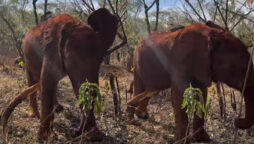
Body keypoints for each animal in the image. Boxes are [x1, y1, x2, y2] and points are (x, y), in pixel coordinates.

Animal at [17, 7, 118, 140]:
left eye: (101, 59)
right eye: (71, 59)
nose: (96, 138)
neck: (74, 23)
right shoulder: (51, 49)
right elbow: (47, 81)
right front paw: (45, 138)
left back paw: (58, 109)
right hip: (26, 56)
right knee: (32, 79)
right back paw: (34, 115)